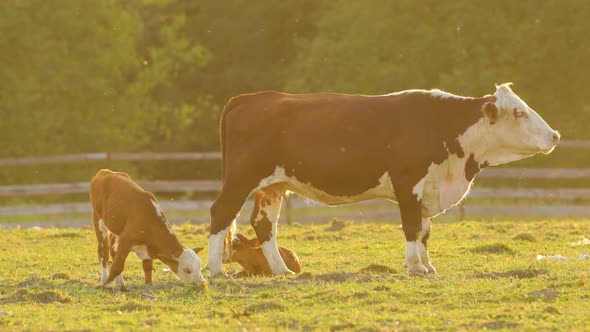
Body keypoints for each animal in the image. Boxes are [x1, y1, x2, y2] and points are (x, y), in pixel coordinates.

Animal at [207, 83, 560, 278]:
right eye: (519, 112)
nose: (554, 135)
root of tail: (250, 98)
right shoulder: (409, 183)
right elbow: (412, 227)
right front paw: (415, 267)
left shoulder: (427, 188)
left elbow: (425, 230)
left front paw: (428, 266)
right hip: (240, 179)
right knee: (221, 214)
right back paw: (214, 269)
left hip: (273, 186)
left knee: (264, 223)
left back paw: (281, 270)